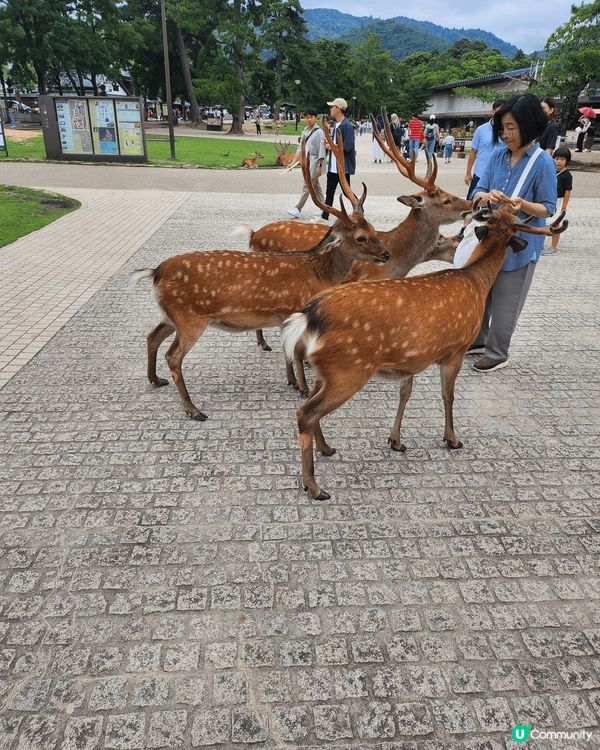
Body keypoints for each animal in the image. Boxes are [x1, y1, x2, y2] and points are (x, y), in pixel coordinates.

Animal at [133, 147, 390, 422]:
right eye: (361, 238)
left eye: (373, 227)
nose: (387, 254)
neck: (319, 273)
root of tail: (155, 273)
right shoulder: (296, 311)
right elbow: (296, 353)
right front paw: (302, 387)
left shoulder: (284, 317)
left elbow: (287, 352)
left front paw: (291, 382)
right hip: (189, 319)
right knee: (173, 356)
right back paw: (193, 409)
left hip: (171, 315)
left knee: (152, 337)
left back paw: (155, 379)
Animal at [281, 205, 568, 500]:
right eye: (513, 224)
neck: (476, 280)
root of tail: (308, 316)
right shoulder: (457, 348)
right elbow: (448, 396)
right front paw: (452, 438)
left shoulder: (413, 357)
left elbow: (405, 395)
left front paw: (396, 440)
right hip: (348, 370)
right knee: (305, 413)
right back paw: (314, 486)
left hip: (326, 371)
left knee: (310, 406)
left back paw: (326, 448)